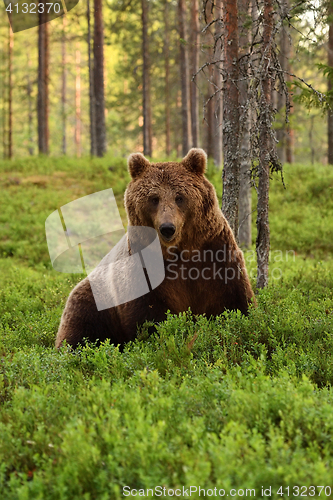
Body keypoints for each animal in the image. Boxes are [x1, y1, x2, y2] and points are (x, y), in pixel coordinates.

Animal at [55, 149, 255, 348]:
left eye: (180, 197)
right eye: (154, 199)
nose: (167, 228)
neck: (179, 251)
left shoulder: (215, 253)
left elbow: (235, 301)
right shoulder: (144, 270)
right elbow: (148, 317)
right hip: (95, 301)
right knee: (79, 329)